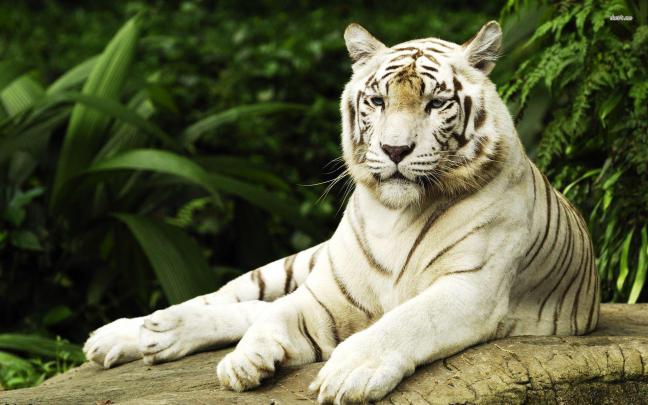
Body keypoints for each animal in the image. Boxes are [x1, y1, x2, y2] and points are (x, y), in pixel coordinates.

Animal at [83, 21, 600, 404]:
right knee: (233, 298)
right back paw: (139, 331)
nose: (395, 149)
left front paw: (348, 372)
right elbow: (275, 316)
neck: (397, 215)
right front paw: (244, 361)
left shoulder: (470, 289)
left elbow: (405, 322)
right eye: (378, 100)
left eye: (436, 103)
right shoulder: (328, 294)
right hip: (300, 264)